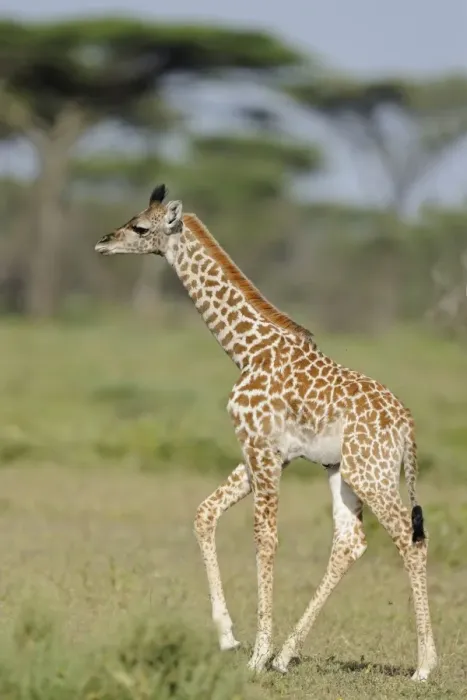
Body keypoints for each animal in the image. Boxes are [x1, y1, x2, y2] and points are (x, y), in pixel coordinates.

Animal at [95, 184, 437, 682]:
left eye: (140, 227)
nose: (103, 242)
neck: (247, 350)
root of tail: (407, 425)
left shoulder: (261, 449)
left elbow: (265, 537)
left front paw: (256, 654)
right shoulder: (265, 453)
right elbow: (204, 513)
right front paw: (229, 636)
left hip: (371, 474)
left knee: (410, 540)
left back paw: (424, 666)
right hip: (344, 471)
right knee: (350, 541)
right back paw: (286, 654)